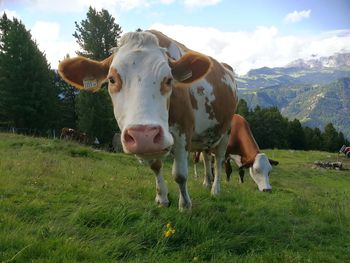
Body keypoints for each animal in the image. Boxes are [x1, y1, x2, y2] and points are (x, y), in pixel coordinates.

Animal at [58, 29, 238, 211]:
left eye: (169, 79)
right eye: (112, 79)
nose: (143, 135)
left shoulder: (183, 131)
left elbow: (180, 174)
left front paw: (185, 205)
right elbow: (155, 166)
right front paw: (162, 198)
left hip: (226, 130)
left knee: (219, 160)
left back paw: (215, 190)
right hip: (205, 137)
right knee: (207, 157)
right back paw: (207, 183)